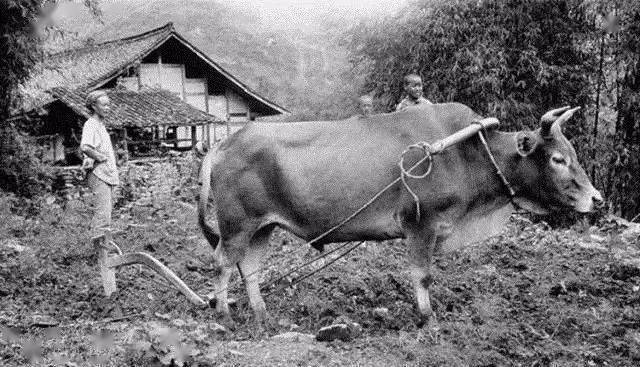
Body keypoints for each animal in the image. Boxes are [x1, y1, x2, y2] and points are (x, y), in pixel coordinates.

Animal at [198, 102, 604, 324]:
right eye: (557, 158)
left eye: (573, 153)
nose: (597, 199)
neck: (468, 153)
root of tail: (224, 143)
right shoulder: (421, 225)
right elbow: (422, 275)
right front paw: (428, 318)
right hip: (237, 226)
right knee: (222, 263)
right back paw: (224, 315)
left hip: (261, 227)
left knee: (250, 268)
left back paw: (261, 313)